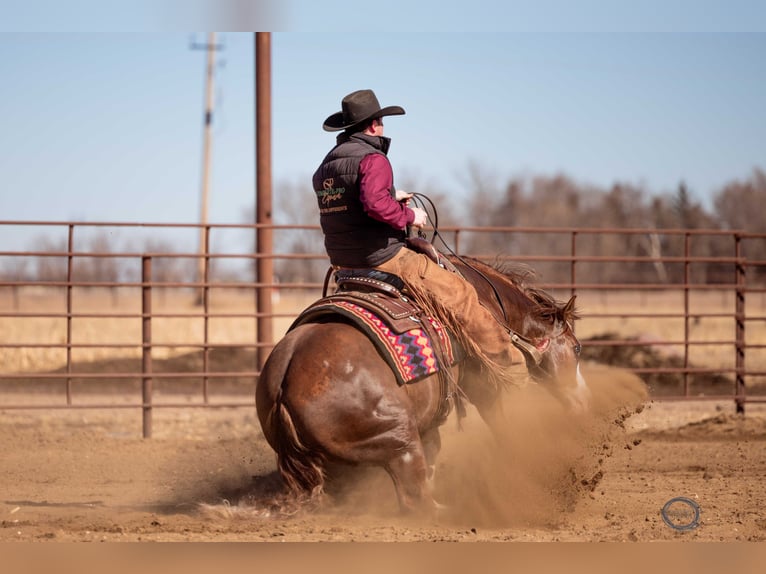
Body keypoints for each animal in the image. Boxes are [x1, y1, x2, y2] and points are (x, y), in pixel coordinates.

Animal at [255, 252, 589, 514]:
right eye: (577, 348)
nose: (583, 401)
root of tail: (284, 383)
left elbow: (434, 450)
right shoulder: (485, 384)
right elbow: (501, 421)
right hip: (399, 440)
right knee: (417, 501)